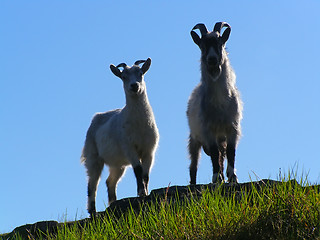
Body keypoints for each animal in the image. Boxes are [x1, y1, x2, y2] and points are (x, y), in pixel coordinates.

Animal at [81, 58, 159, 216]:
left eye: (141, 73)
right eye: (123, 76)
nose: (134, 86)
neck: (139, 124)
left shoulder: (149, 150)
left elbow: (146, 174)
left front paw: (146, 192)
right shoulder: (129, 147)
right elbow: (138, 170)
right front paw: (141, 193)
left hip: (117, 163)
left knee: (110, 181)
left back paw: (112, 202)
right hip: (93, 155)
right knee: (92, 183)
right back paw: (92, 211)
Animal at [188, 22, 242, 184]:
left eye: (220, 43)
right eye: (202, 45)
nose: (212, 59)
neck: (219, 104)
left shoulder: (232, 127)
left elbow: (231, 152)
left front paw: (232, 177)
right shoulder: (208, 129)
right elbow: (213, 152)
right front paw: (216, 177)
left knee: (222, 155)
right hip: (194, 138)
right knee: (193, 165)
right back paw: (193, 183)